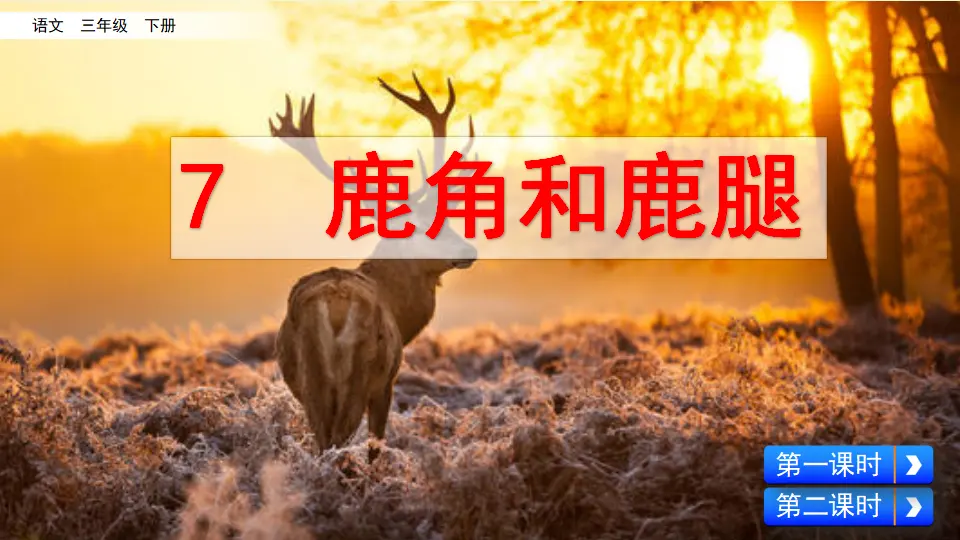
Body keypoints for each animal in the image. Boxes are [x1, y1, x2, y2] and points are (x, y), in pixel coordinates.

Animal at [268, 73, 478, 463]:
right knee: (338, 442)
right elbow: (376, 443)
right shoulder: (387, 382)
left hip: (310, 381)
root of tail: (334, 304)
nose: (469, 250)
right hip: (360, 374)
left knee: (322, 442)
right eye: (422, 227)